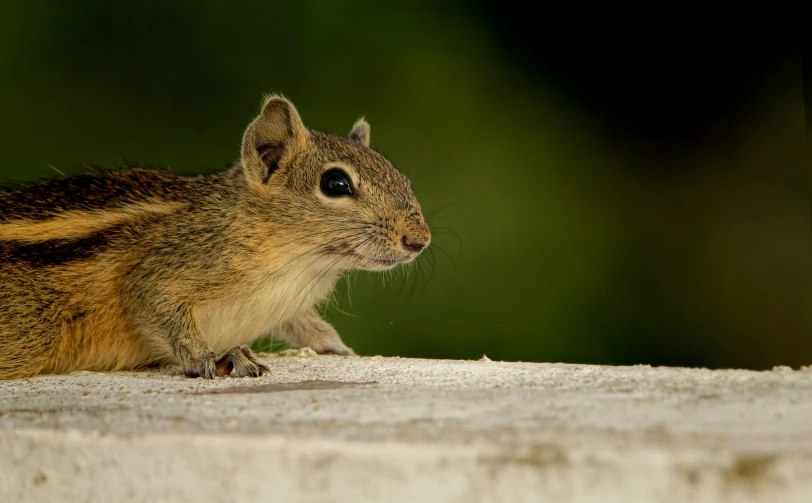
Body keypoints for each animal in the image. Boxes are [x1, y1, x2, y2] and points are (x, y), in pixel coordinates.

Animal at [0, 94, 432, 380]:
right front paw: (211, 357)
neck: (299, 260)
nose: (419, 240)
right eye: (336, 183)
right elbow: (158, 307)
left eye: (401, 176)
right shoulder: (165, 269)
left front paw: (337, 346)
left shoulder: (288, 305)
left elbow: (304, 325)